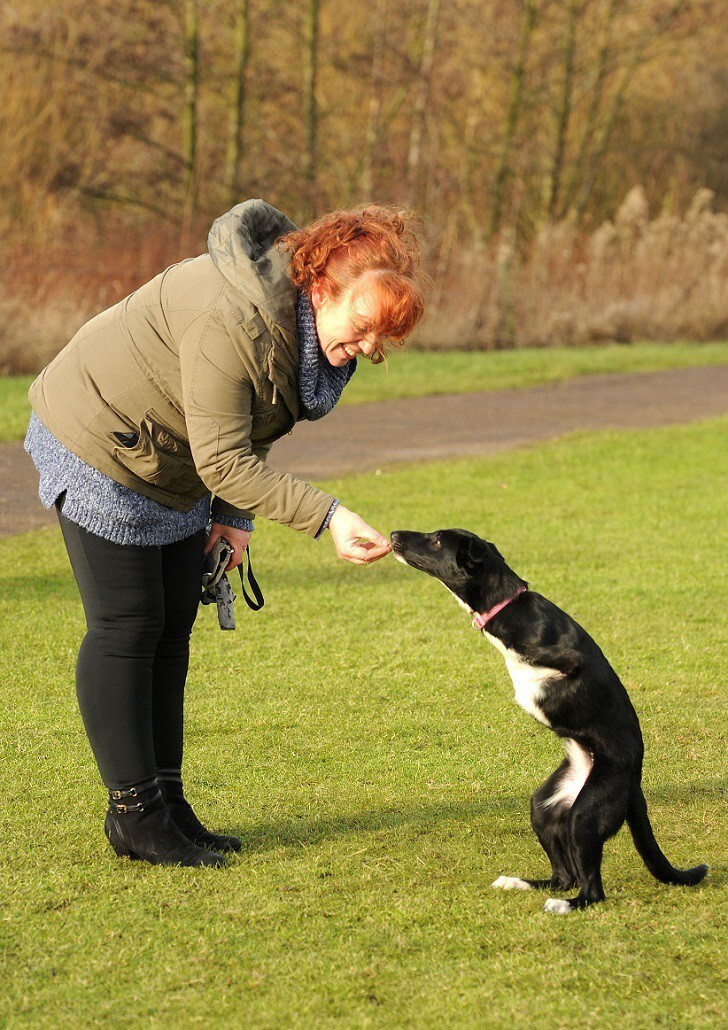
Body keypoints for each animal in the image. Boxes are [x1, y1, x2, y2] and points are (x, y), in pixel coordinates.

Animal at [389, 527, 708, 914]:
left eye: (436, 540)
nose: (393, 534)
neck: (507, 606)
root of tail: (634, 784)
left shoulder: (571, 659)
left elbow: (543, 673)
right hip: (544, 808)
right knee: (563, 874)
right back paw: (522, 883)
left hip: (585, 815)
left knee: (591, 888)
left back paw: (565, 905)